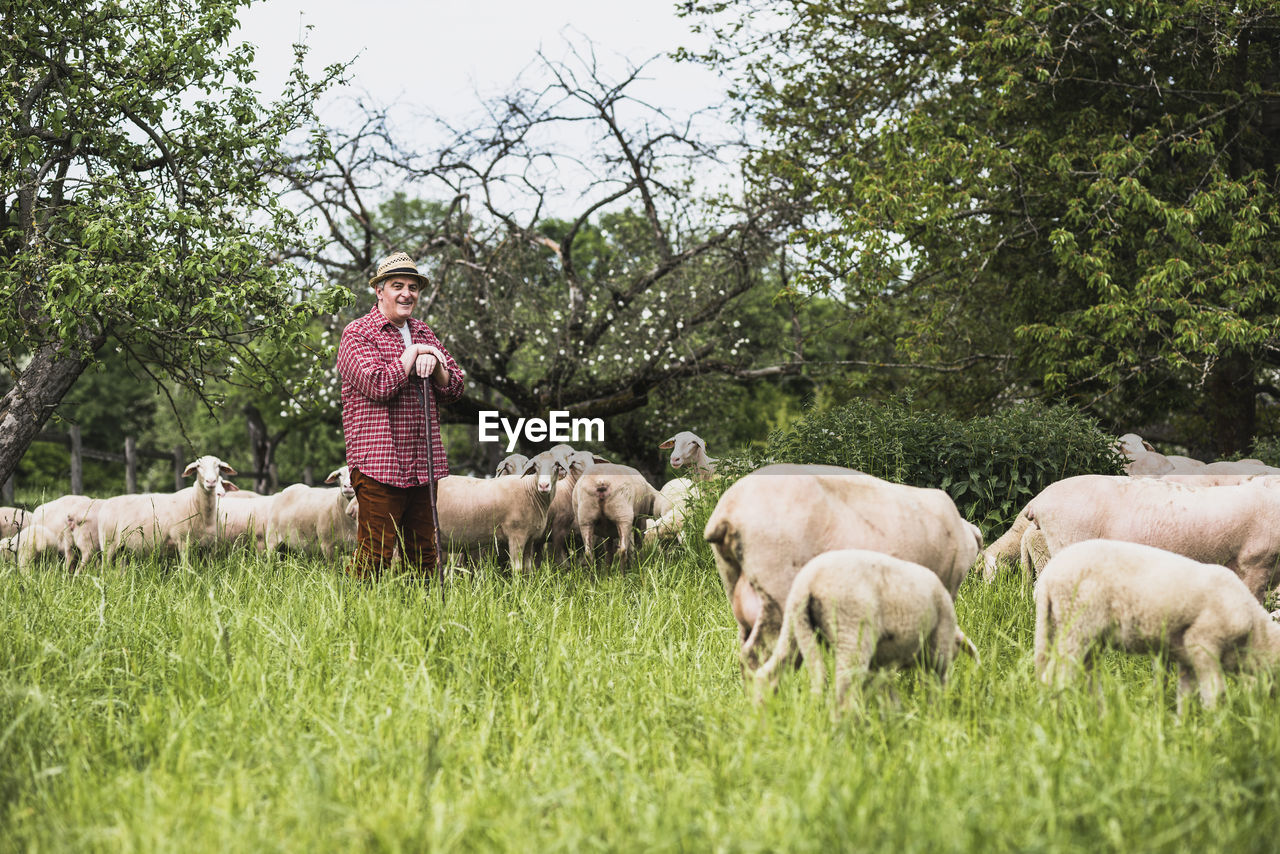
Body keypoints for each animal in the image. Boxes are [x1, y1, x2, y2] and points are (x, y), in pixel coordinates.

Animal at [96, 453, 235, 568]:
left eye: (218, 466)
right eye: (198, 466)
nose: (210, 481)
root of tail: (106, 503)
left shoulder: (209, 547)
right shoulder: (182, 541)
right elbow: (187, 570)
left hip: (123, 550)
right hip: (108, 544)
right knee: (105, 570)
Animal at [435, 448, 565, 573]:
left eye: (555, 465)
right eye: (536, 466)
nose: (544, 485)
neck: (529, 491)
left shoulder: (529, 538)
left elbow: (527, 568)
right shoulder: (516, 535)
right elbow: (517, 569)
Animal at [747, 550, 977, 706]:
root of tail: (808, 583)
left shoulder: (881, 664)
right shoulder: (938, 649)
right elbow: (935, 686)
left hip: (793, 627)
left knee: (767, 674)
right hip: (852, 629)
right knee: (842, 691)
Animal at [1034, 540, 1280, 717]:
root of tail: (1047, 578)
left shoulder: (1186, 656)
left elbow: (1185, 696)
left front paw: (1184, 728)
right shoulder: (1203, 642)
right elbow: (1214, 693)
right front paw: (1215, 728)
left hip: (1078, 633)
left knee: (1086, 678)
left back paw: (1098, 717)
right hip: (1077, 623)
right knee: (1057, 678)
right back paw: (1061, 719)